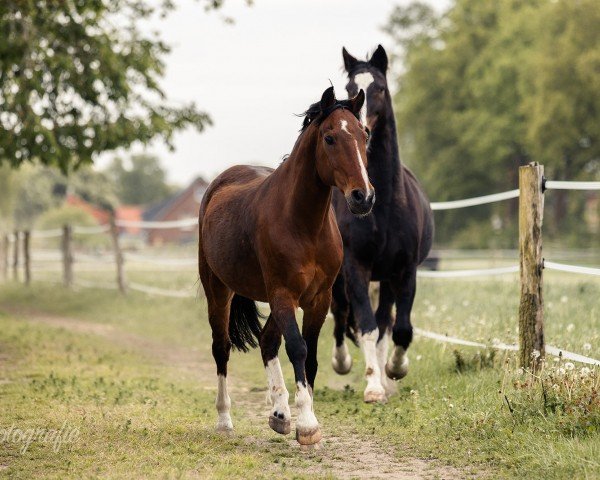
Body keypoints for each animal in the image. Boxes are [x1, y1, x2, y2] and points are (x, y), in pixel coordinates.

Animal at [199, 87, 372, 446]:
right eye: (330, 138)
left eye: (365, 135)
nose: (363, 197)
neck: (303, 224)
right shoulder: (283, 295)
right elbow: (297, 349)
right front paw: (306, 423)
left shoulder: (318, 299)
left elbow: (312, 357)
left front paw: (300, 417)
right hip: (219, 290)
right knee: (221, 347)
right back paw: (225, 420)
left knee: (267, 341)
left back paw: (279, 414)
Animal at [330, 47, 434, 404]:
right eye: (349, 88)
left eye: (380, 88)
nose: (361, 128)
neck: (383, 205)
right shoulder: (355, 267)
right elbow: (365, 324)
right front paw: (373, 386)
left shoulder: (404, 269)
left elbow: (398, 327)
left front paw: (394, 371)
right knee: (340, 315)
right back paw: (343, 362)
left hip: (387, 278)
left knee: (386, 320)